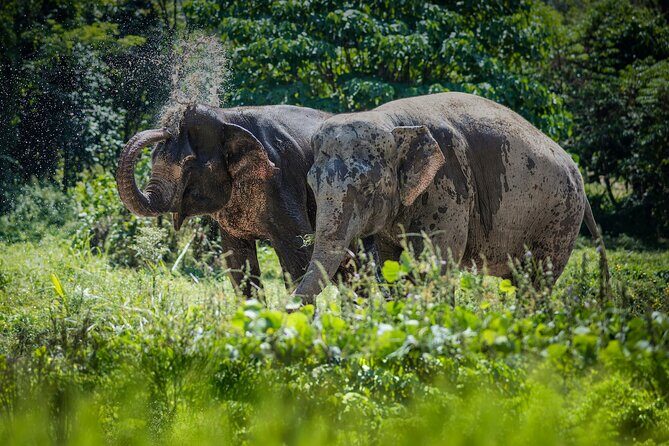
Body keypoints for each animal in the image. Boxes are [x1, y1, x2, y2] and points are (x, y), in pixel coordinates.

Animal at [116, 104, 331, 296]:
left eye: (189, 164)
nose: (166, 129)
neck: (226, 117)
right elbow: (237, 262)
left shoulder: (282, 180)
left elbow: (299, 254)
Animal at [294, 92, 608, 302]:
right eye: (311, 184)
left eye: (367, 188)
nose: (289, 309)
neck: (393, 123)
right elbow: (391, 264)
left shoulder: (449, 187)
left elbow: (437, 264)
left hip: (560, 218)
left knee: (538, 280)